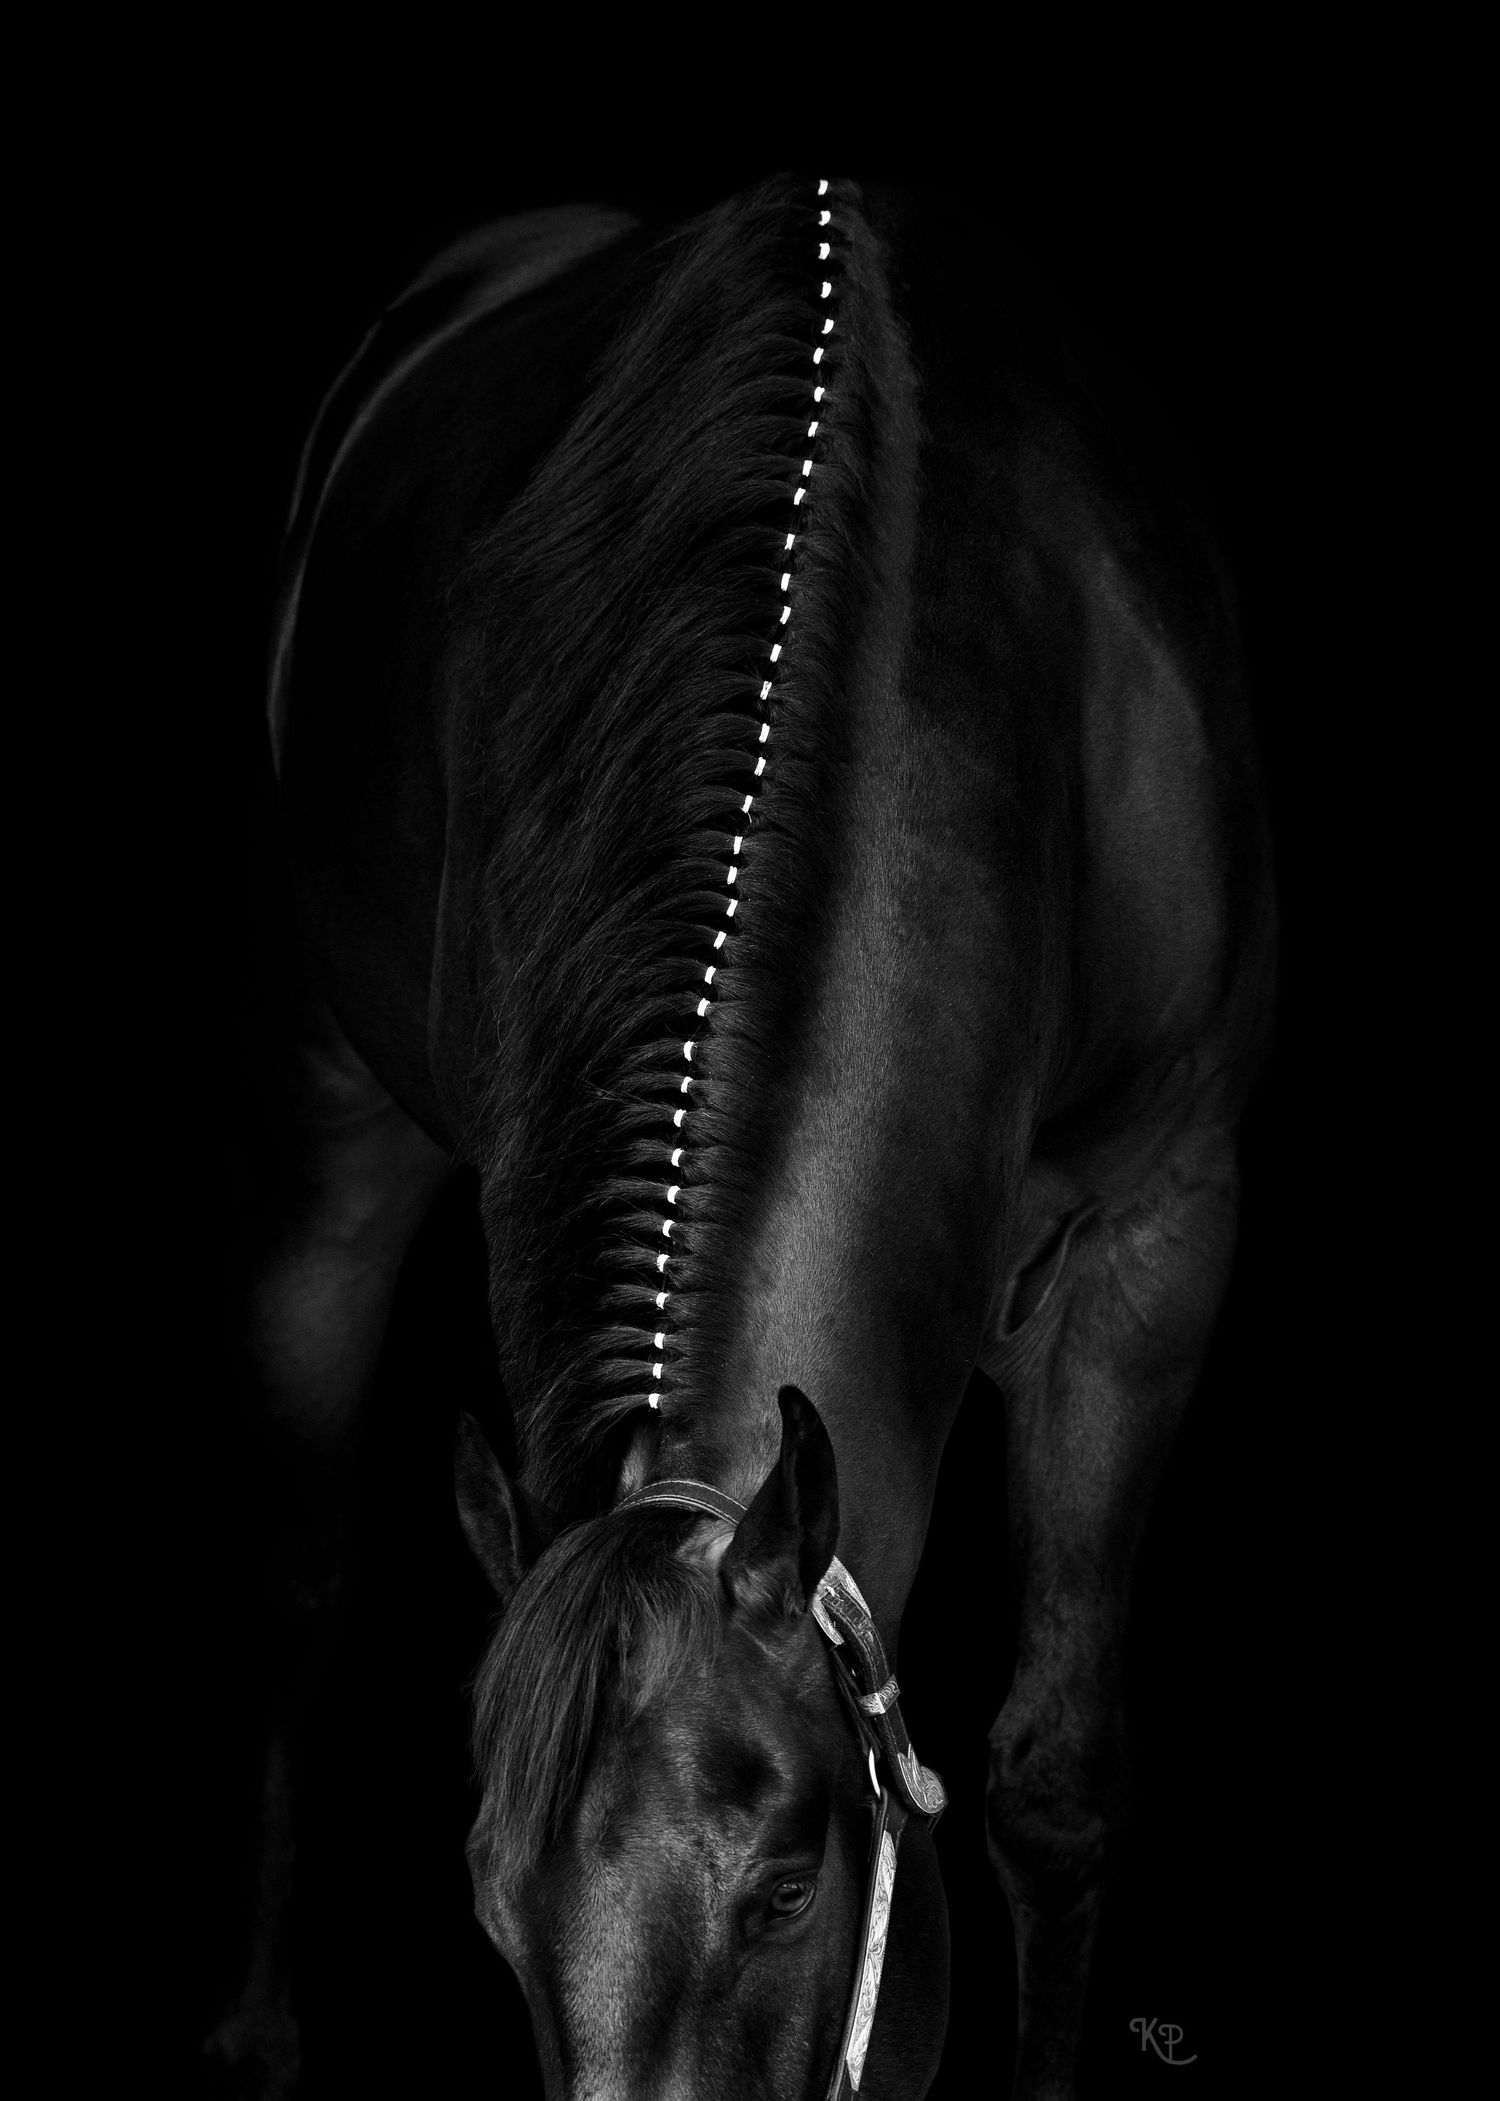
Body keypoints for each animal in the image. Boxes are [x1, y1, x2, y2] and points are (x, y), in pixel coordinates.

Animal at [210, 172, 1275, 2099]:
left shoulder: (1164, 1227)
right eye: (494, 1917)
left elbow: (1060, 1778)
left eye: (784, 1888)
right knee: (288, 1576)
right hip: (318, 1114)